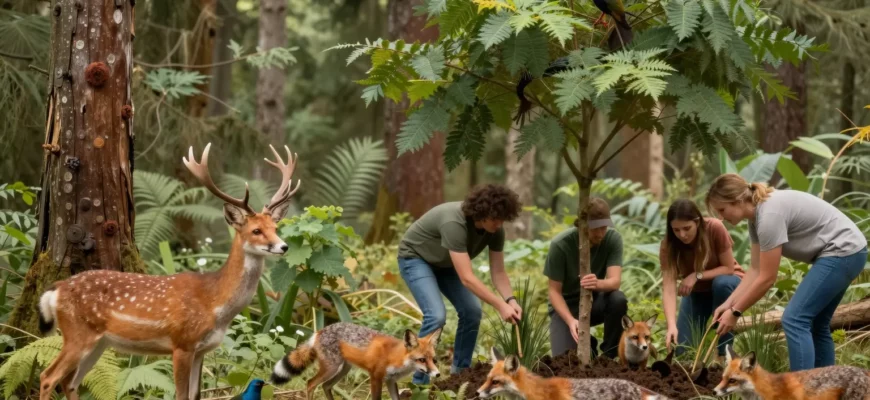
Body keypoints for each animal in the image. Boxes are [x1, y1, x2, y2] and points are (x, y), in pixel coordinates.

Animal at [36, 143, 301, 400]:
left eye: (275, 227)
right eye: (256, 230)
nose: (283, 246)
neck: (215, 303)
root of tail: (56, 289)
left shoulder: (201, 350)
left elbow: (195, 395)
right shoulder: (182, 343)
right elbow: (181, 395)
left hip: (99, 341)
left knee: (69, 382)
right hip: (78, 333)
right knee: (48, 376)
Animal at [270, 322, 441, 400]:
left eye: (434, 360)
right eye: (422, 359)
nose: (438, 374)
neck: (395, 356)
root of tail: (320, 330)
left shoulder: (390, 381)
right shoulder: (375, 377)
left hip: (343, 370)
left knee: (325, 386)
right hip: (331, 369)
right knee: (310, 383)